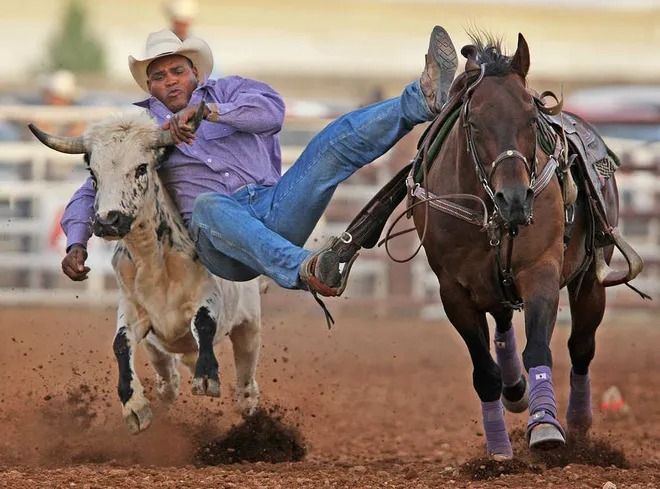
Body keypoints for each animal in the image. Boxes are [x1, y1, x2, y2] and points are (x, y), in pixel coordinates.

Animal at [412, 33, 624, 458]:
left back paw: (578, 424)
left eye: (529, 117)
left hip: (589, 280)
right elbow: (484, 371)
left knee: (581, 346)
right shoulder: (452, 290)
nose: (514, 198)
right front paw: (498, 449)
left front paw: (545, 427)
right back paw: (515, 390)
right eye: (474, 124)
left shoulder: (540, 270)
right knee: (503, 323)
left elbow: (539, 349)